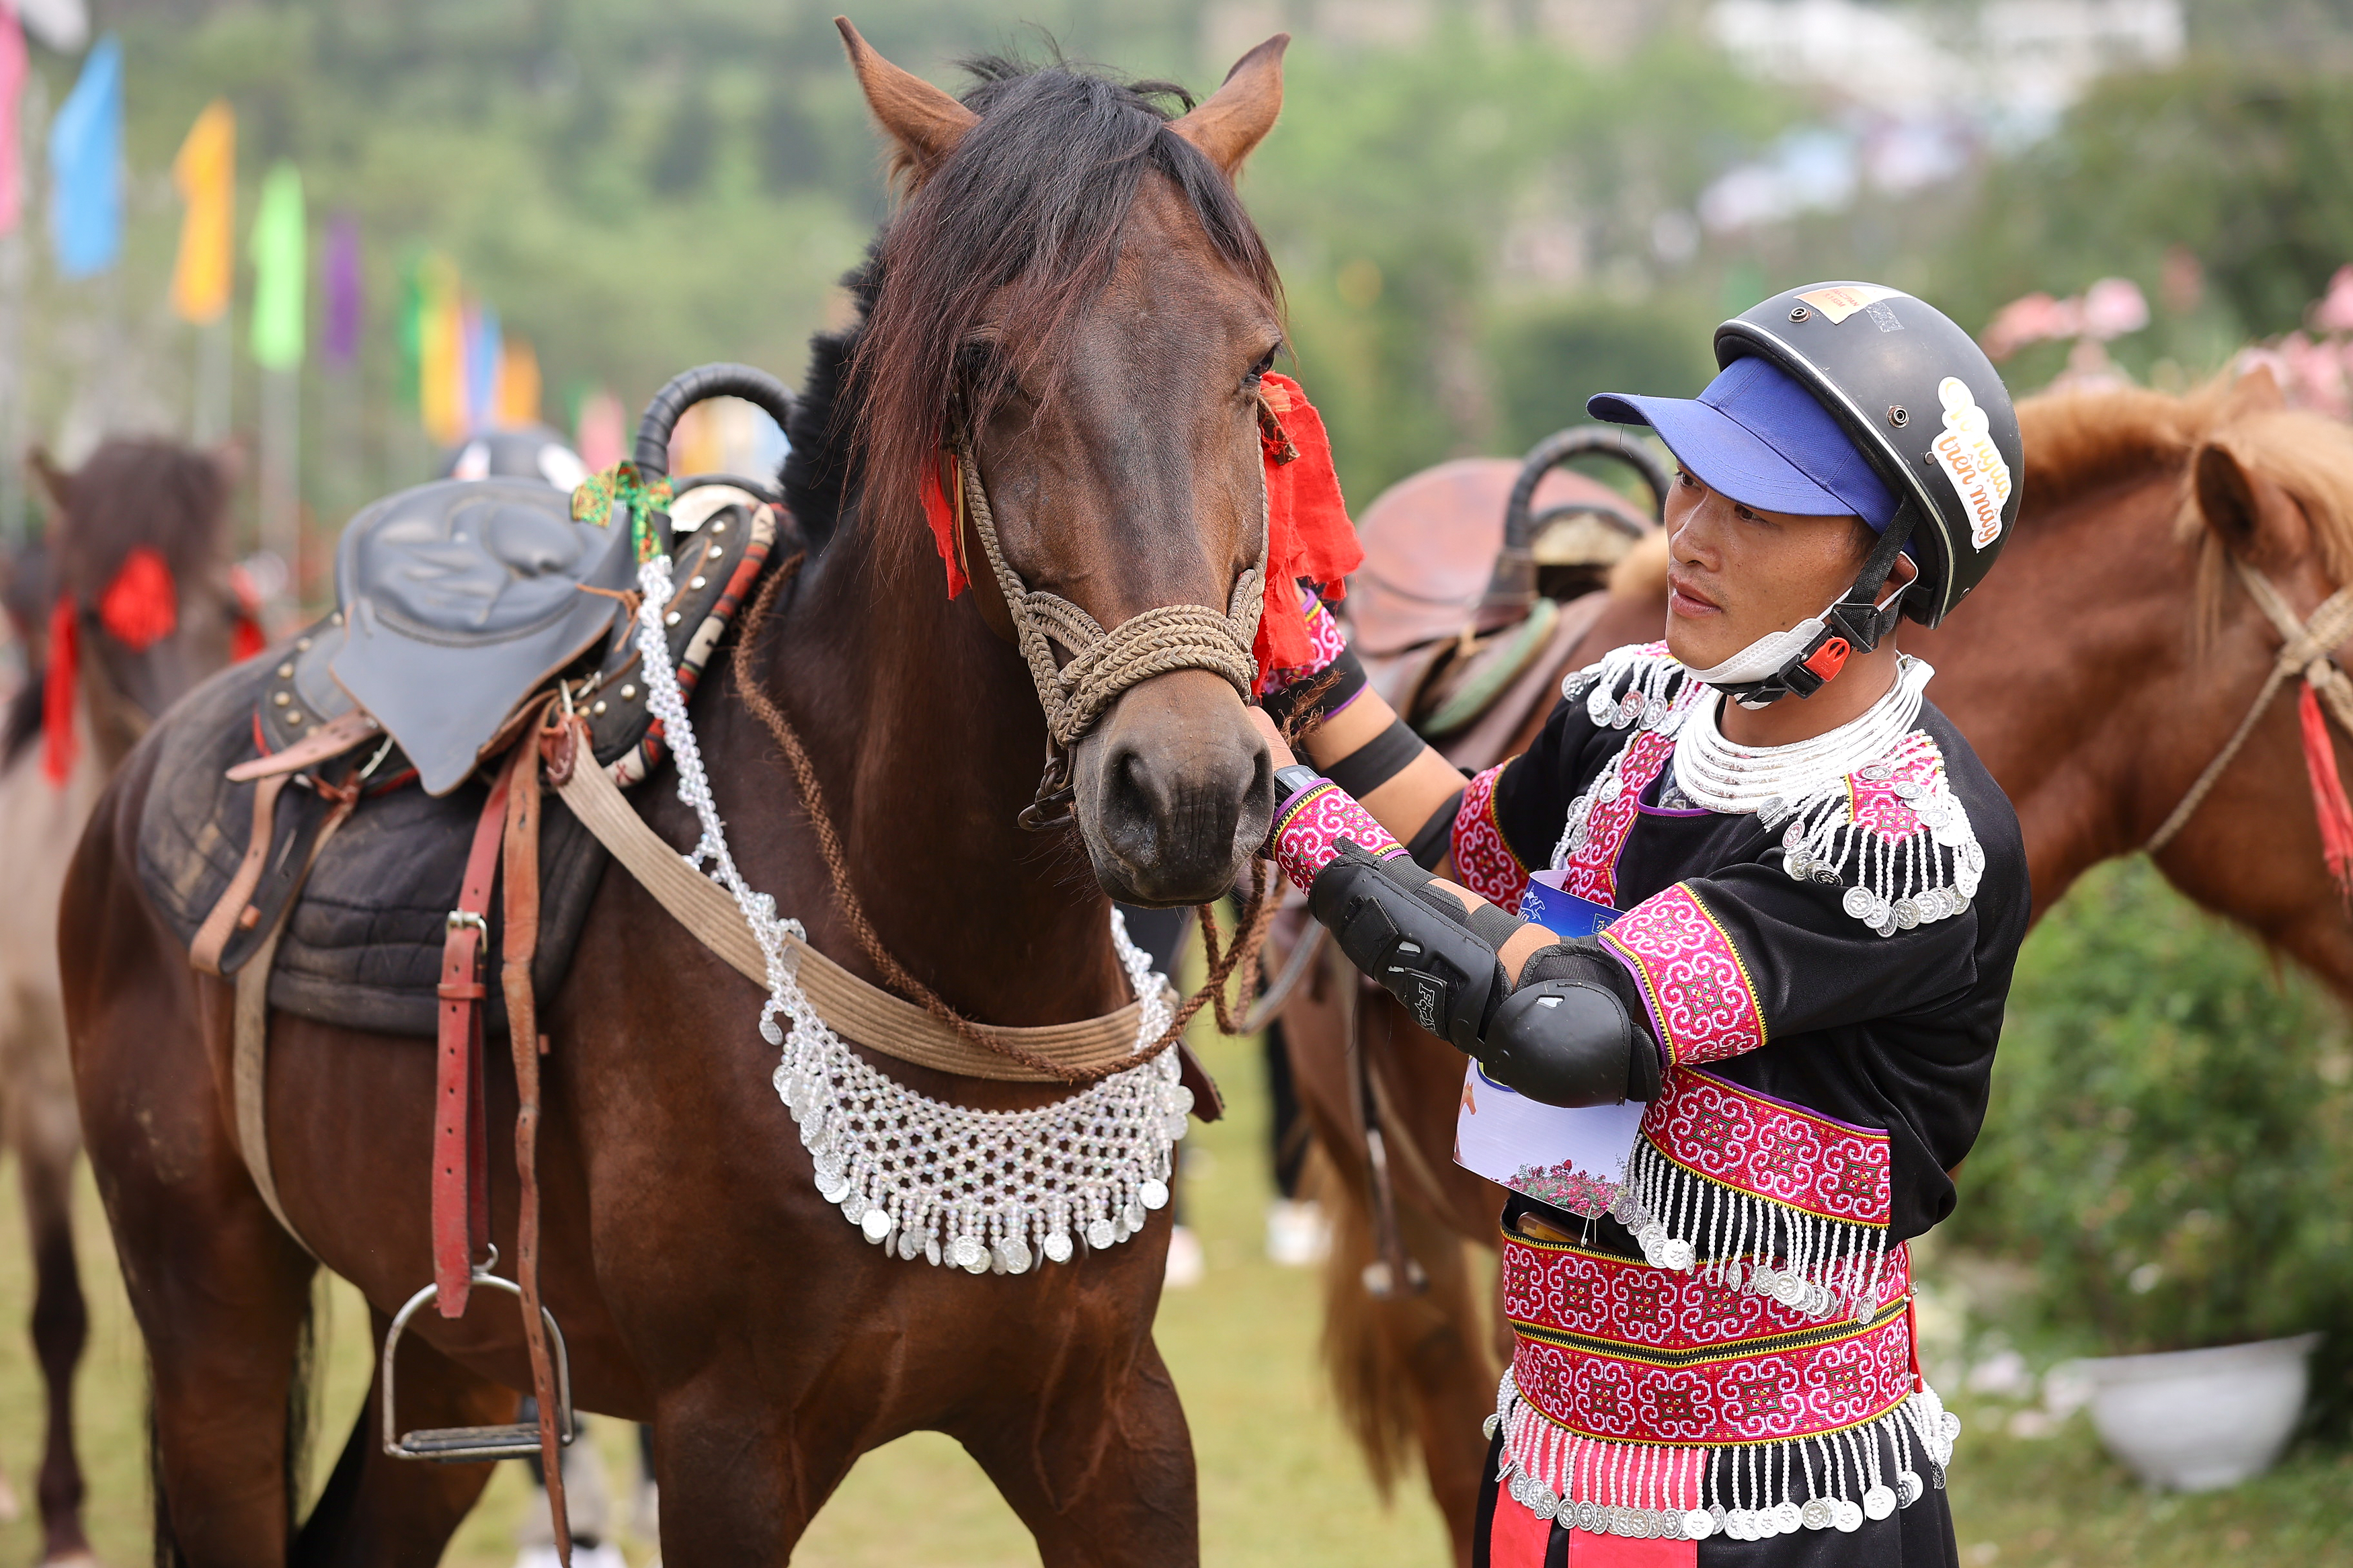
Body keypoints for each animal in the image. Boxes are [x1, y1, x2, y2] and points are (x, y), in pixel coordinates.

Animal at [59, 28, 1289, 1568]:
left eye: (1256, 365)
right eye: (984, 366)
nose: (1186, 788)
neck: (962, 971)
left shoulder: (1108, 1420)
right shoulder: (727, 1439)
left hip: (460, 1345)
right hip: (209, 1315)